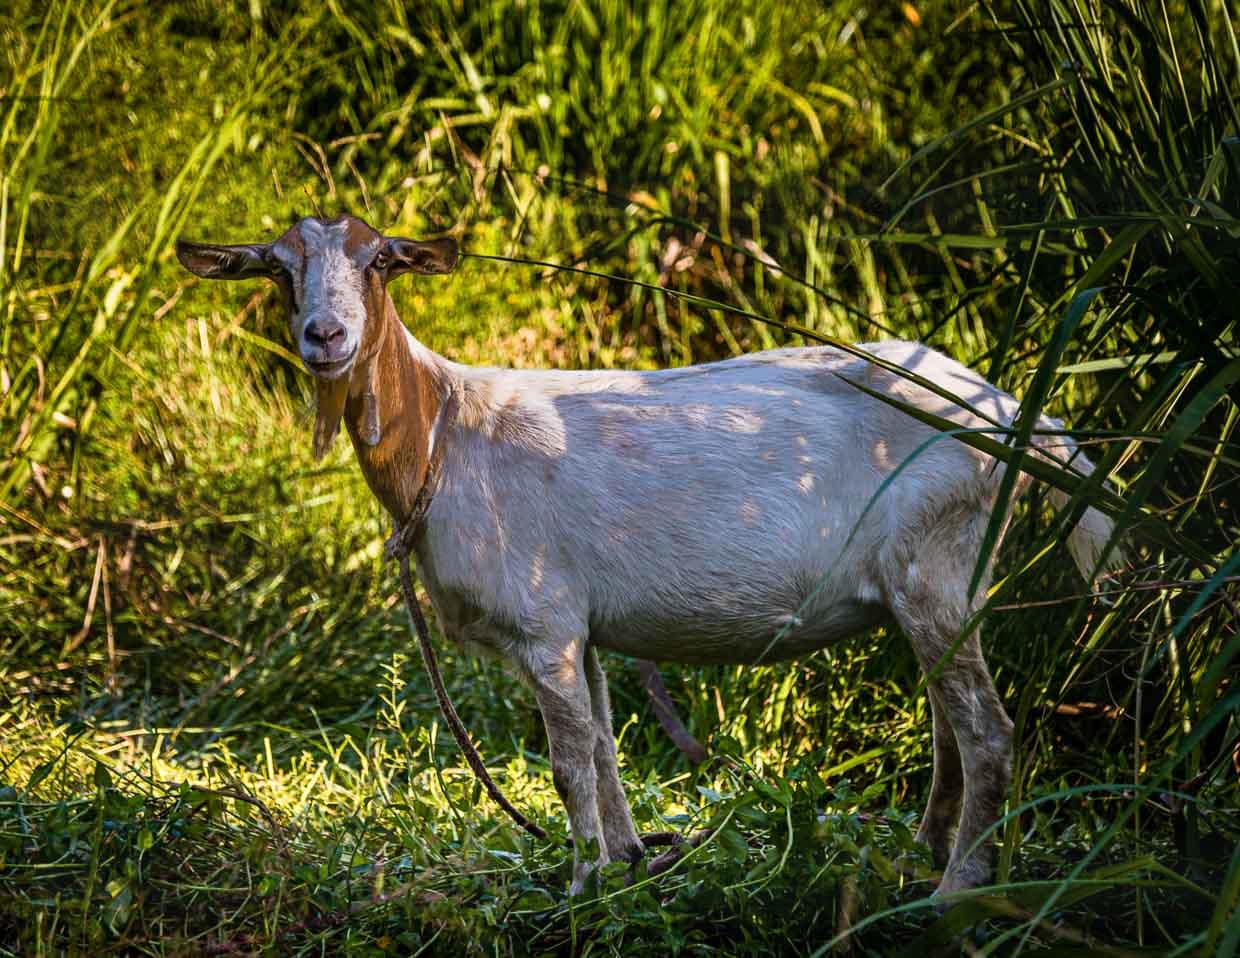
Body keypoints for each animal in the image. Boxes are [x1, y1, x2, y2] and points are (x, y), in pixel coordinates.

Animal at [177, 213, 1116, 896]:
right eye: (277, 267)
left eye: (379, 261)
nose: (325, 336)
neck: (448, 437)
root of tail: (1014, 413)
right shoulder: (582, 628)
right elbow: (602, 747)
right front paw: (630, 863)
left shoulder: (542, 622)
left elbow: (567, 764)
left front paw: (580, 884)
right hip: (938, 578)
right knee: (949, 723)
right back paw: (919, 853)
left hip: (936, 558)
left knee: (987, 731)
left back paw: (955, 889)